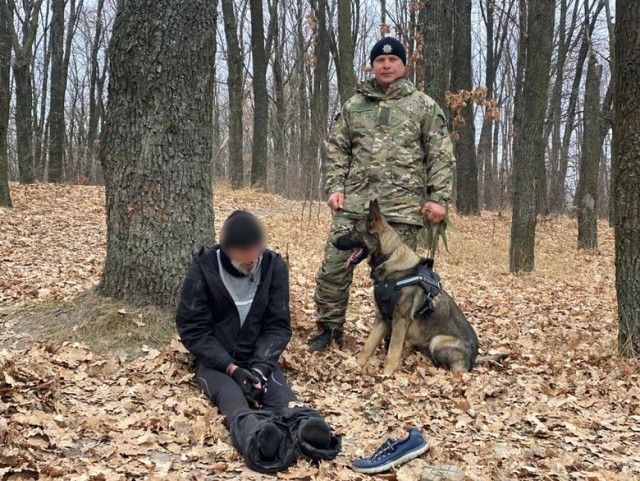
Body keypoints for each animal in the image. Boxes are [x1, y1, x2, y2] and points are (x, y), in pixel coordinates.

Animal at [336, 199, 504, 376]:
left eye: (355, 230)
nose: (333, 242)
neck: (389, 258)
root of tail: (474, 359)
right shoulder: (382, 319)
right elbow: (368, 347)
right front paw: (356, 365)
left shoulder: (399, 321)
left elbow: (392, 353)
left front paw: (387, 374)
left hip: (438, 341)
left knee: (456, 370)